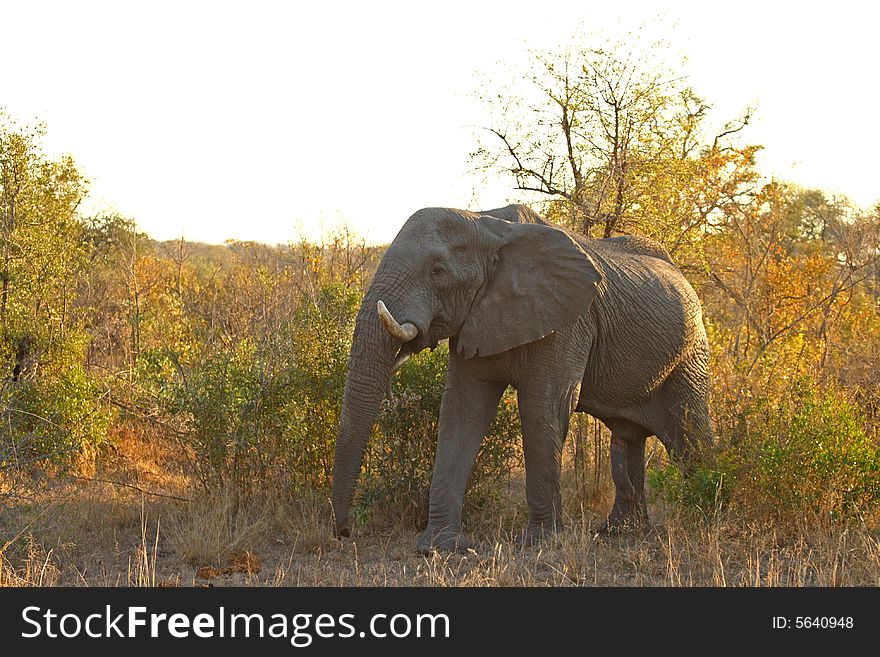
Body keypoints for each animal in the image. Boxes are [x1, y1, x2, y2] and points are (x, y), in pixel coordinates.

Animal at [326, 204, 712, 548]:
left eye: (437, 271)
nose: (345, 533)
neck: (488, 225)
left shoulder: (569, 320)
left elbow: (543, 405)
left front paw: (541, 542)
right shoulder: (475, 318)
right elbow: (462, 409)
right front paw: (439, 546)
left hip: (691, 353)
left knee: (689, 434)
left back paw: (706, 518)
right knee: (627, 439)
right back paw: (618, 533)